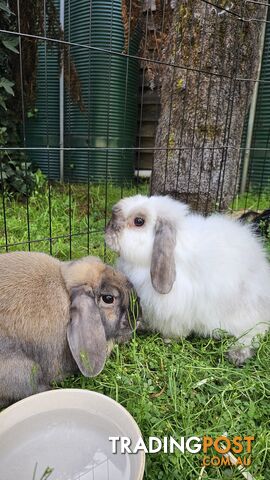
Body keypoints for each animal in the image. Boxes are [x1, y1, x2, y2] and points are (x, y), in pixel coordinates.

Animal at [105, 195, 270, 364]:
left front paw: (168, 340)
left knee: (255, 331)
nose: (108, 228)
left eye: (139, 221)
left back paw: (237, 354)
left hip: (243, 313)